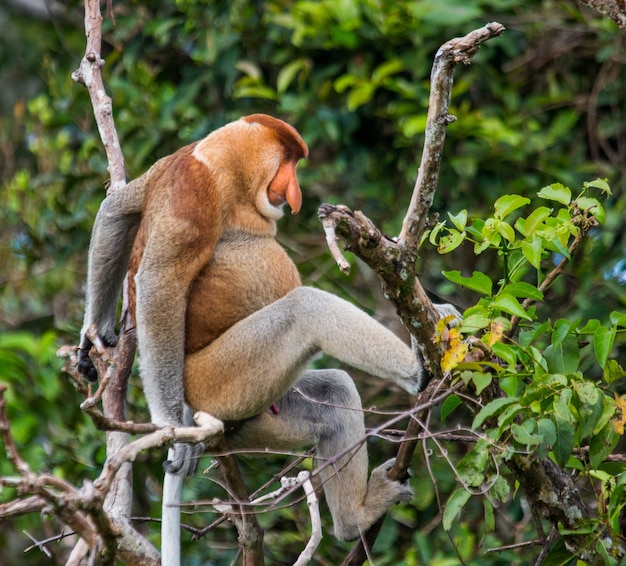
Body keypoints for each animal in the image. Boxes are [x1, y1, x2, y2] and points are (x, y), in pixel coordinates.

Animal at [80, 114, 456, 540]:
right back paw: (419, 371)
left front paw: (90, 343)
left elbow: (116, 211)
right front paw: (171, 432)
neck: (221, 164)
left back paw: (354, 519)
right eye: (289, 159)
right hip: (216, 380)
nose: (295, 191)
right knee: (304, 310)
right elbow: (160, 284)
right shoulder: (195, 188)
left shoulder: (166, 164)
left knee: (335, 391)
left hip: (259, 414)